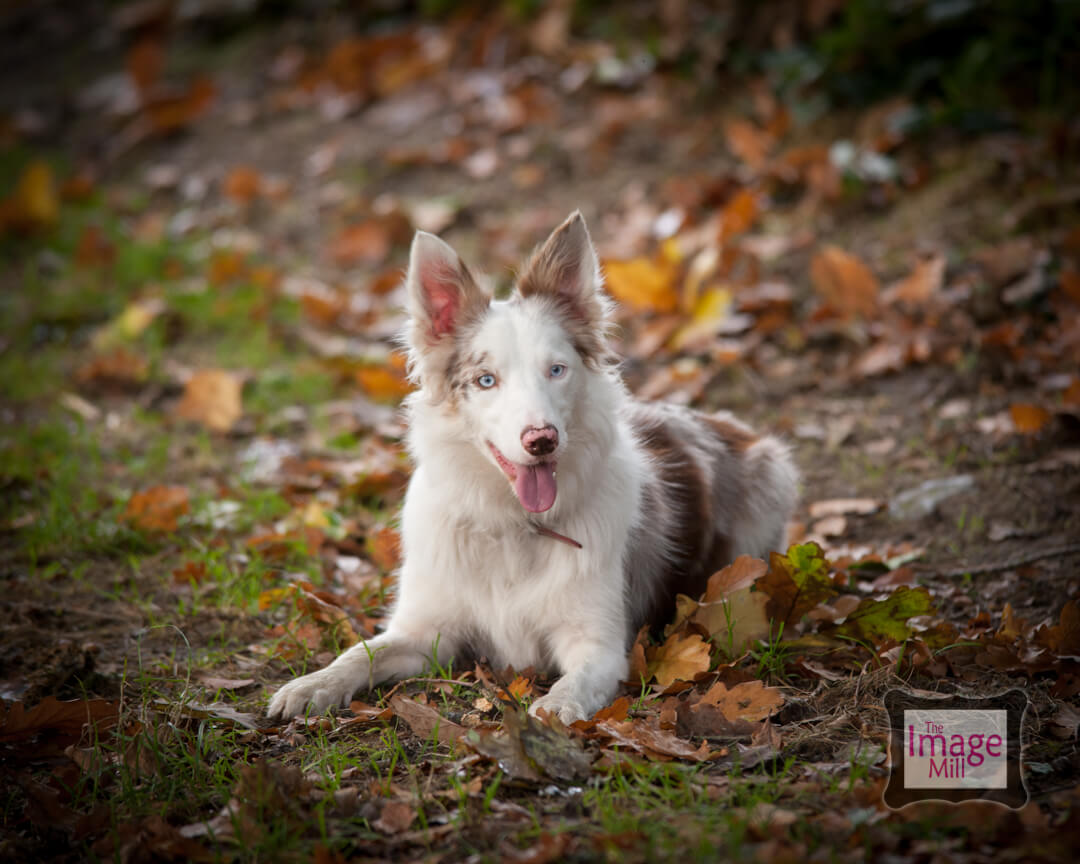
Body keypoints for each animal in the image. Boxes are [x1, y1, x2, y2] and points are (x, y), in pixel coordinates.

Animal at [266, 210, 799, 721]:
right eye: (486, 380)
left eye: (556, 370)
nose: (542, 440)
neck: (513, 527)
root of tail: (729, 424)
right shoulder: (424, 632)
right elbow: (359, 653)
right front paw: (309, 686)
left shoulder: (599, 644)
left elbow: (575, 683)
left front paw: (555, 709)